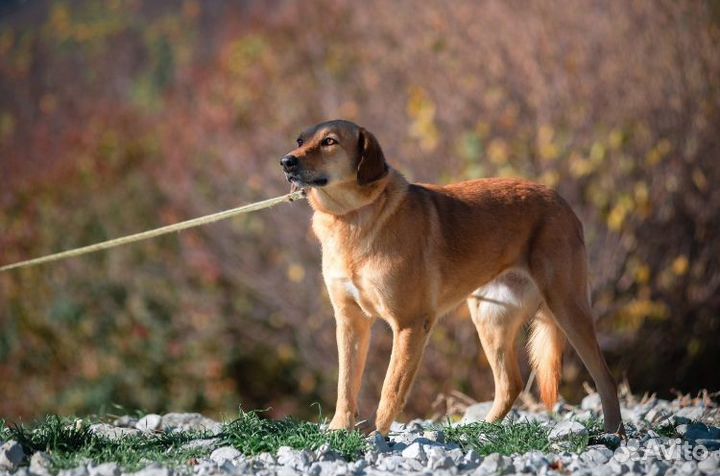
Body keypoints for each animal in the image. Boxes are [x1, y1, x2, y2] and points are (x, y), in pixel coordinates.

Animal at [282, 119, 624, 436]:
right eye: (300, 140)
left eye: (329, 141)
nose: (286, 161)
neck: (350, 217)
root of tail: (561, 201)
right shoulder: (350, 322)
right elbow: (346, 386)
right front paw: (339, 431)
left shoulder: (410, 324)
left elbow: (390, 390)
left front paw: (376, 438)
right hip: (490, 317)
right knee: (510, 383)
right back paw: (482, 430)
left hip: (567, 306)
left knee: (605, 376)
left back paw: (614, 433)